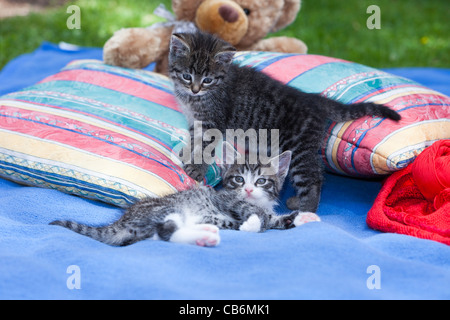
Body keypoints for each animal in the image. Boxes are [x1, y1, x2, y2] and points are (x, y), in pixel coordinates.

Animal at [50, 150, 320, 248]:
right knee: (163, 232)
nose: (249, 190)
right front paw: (253, 221)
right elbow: (255, 215)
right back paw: (205, 237)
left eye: (262, 181)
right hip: (167, 209)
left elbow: (274, 219)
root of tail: (122, 221)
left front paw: (303, 217)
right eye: (239, 179)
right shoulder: (227, 200)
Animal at [169, 31, 400, 214]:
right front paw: (187, 152)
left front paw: (196, 168)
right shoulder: (195, 120)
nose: (195, 89)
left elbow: (205, 146)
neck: (195, 98)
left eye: (207, 80)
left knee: (313, 178)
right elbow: (195, 140)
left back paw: (306, 209)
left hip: (298, 148)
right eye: (187, 76)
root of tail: (312, 99)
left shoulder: (214, 121)